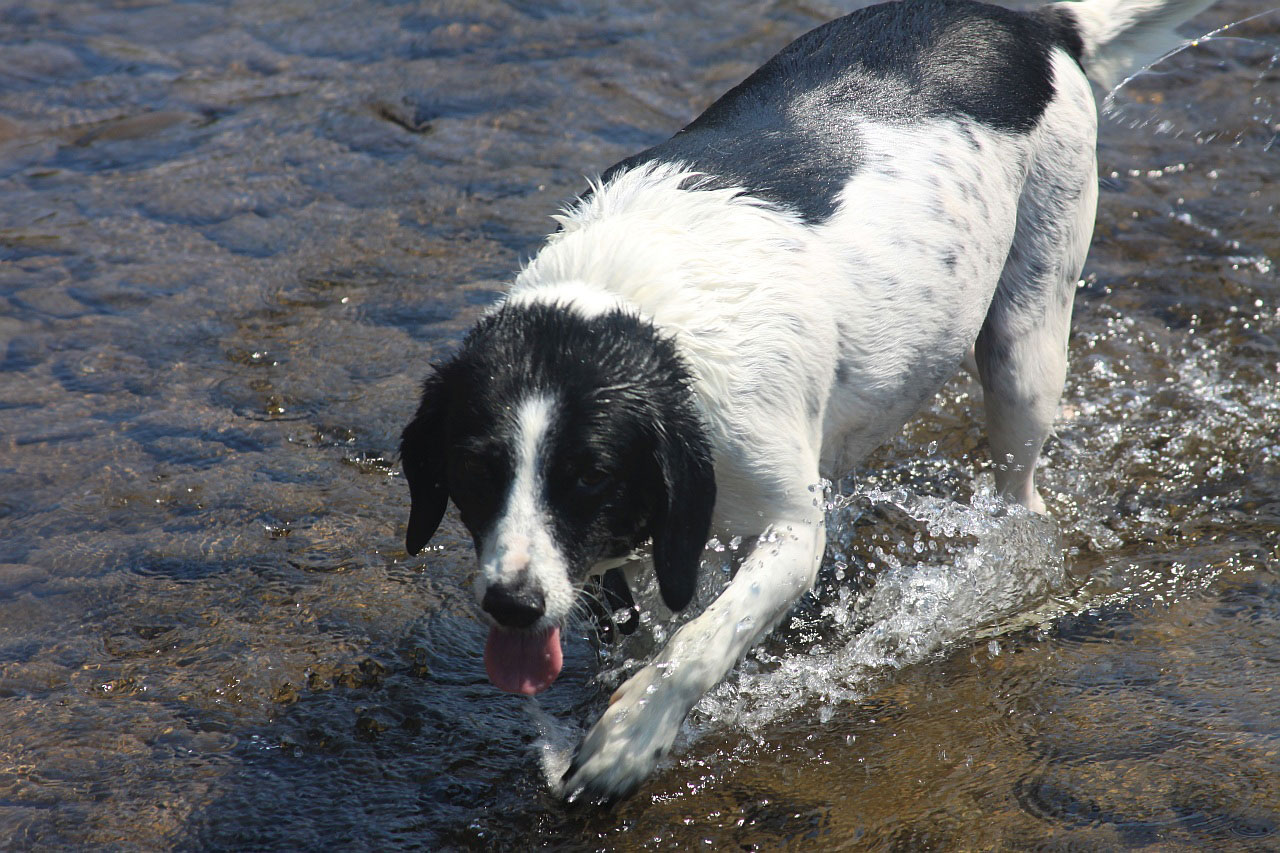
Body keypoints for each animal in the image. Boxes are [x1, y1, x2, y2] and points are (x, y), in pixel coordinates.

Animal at [401, 0, 1218, 799]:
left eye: (590, 477)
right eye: (475, 469)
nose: (512, 604)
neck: (638, 311)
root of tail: (1035, 25)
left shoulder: (793, 531)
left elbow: (702, 642)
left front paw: (631, 736)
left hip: (1026, 345)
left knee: (1025, 497)